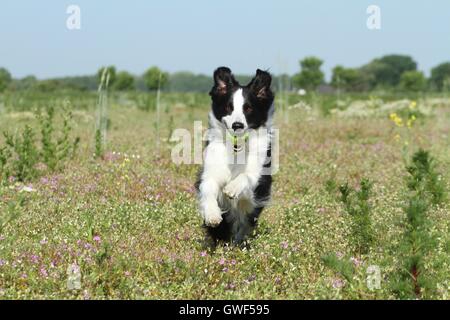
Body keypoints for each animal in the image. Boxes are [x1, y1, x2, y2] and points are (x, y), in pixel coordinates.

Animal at [196, 66, 274, 244]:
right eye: (228, 107)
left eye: (248, 108)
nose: (237, 125)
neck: (236, 149)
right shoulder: (210, 171)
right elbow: (208, 188)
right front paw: (212, 214)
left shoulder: (257, 182)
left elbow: (246, 177)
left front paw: (232, 188)